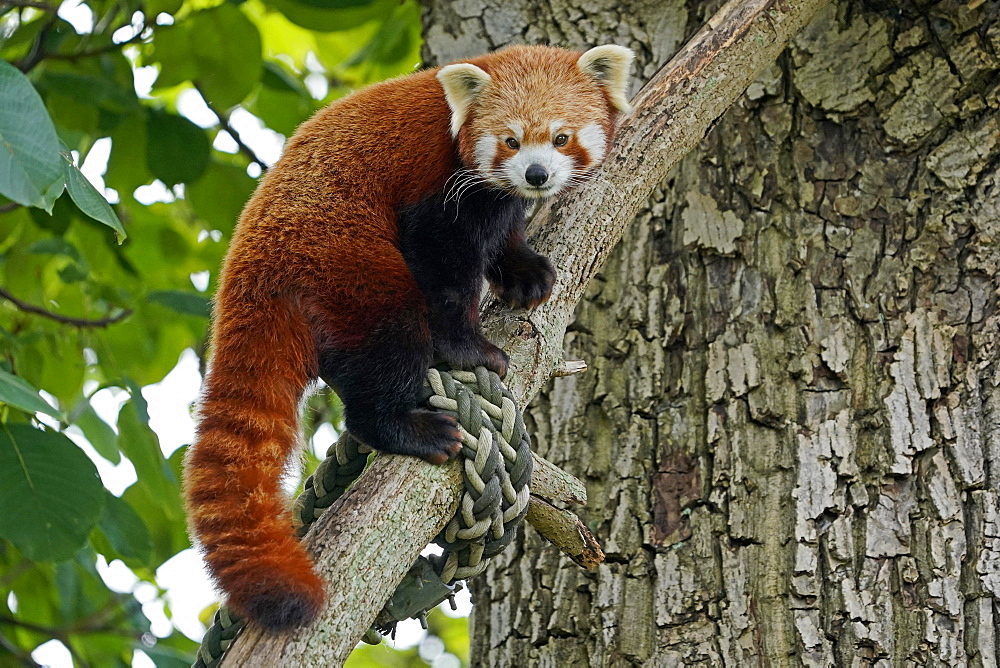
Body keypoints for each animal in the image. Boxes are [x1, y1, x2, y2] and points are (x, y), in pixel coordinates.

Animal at [183, 43, 632, 632]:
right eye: (510, 140)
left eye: (561, 137)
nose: (536, 175)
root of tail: (249, 265)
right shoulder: (437, 184)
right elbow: (443, 267)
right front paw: (469, 348)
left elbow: (503, 234)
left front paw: (523, 270)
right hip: (347, 261)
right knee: (390, 339)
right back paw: (407, 427)